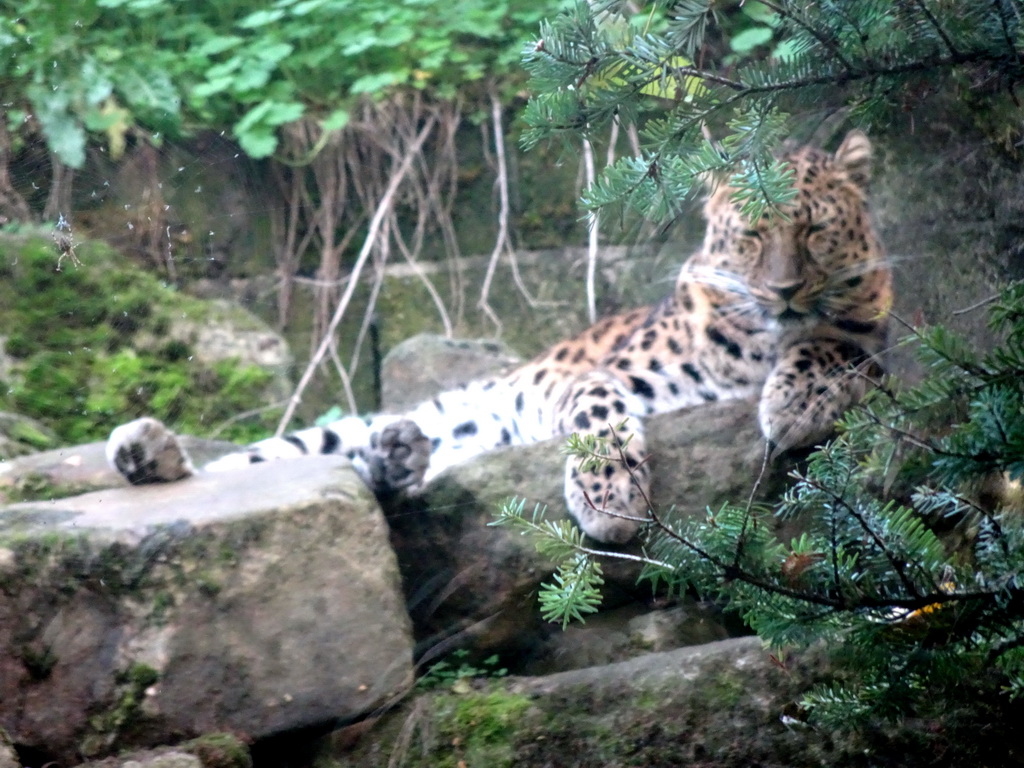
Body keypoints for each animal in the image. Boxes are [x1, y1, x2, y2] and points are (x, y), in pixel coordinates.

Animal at [105, 128, 888, 548]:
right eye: (751, 233)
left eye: (815, 230)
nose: (784, 290)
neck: (759, 345)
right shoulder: (601, 372)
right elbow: (597, 410)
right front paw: (608, 496)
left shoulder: (878, 343)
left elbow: (842, 344)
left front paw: (797, 404)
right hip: (330, 440)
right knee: (254, 466)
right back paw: (147, 450)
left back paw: (401, 456)